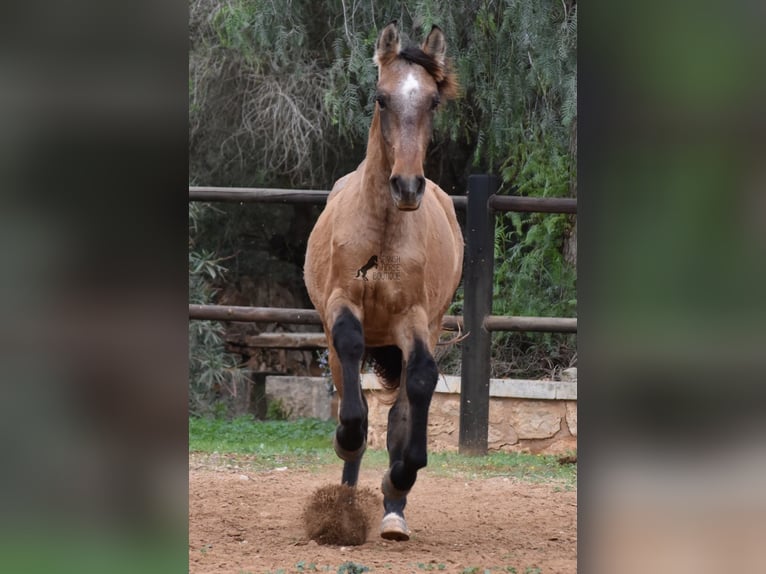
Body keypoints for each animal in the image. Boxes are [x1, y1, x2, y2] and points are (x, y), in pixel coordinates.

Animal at [304, 21, 462, 544]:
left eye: (432, 102)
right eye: (381, 97)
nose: (407, 186)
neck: (384, 228)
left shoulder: (413, 319)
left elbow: (420, 383)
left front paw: (400, 477)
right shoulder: (341, 305)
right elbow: (355, 402)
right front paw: (346, 444)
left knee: (403, 404)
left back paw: (393, 513)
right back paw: (346, 502)